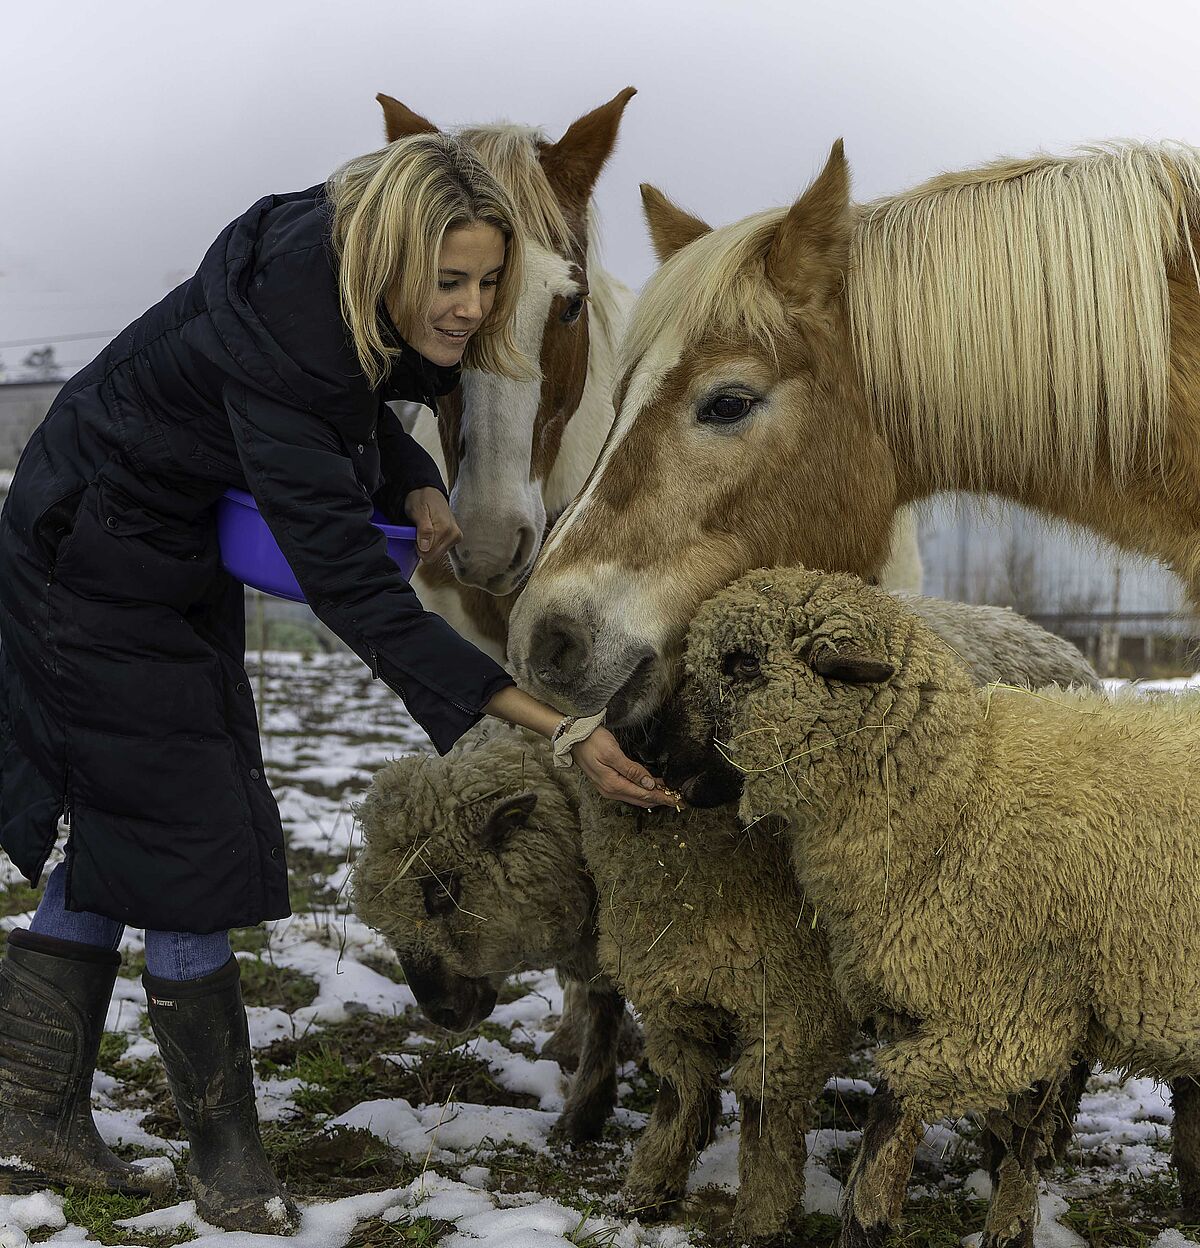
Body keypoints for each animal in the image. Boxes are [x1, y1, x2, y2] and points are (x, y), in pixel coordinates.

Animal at [678, 569, 1197, 1248]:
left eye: (742, 663)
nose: (647, 749)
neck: (954, 792)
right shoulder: (951, 1002)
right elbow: (961, 1131)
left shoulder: (1012, 1013)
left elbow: (918, 1123)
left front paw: (889, 1221)